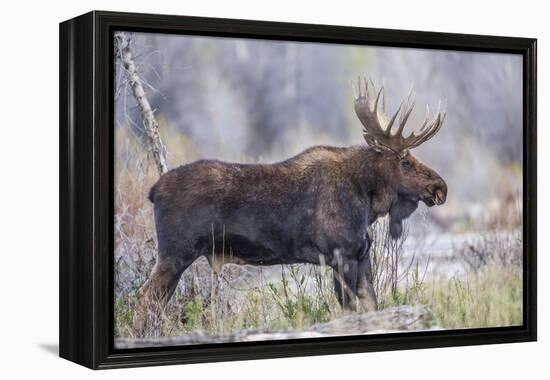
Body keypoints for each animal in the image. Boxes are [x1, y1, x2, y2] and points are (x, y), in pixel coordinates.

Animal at [133, 78, 448, 334]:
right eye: (405, 162)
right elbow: (350, 311)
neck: (367, 201)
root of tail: (153, 191)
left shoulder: (362, 256)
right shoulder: (341, 255)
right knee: (144, 298)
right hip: (175, 253)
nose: (440, 187)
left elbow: (373, 307)